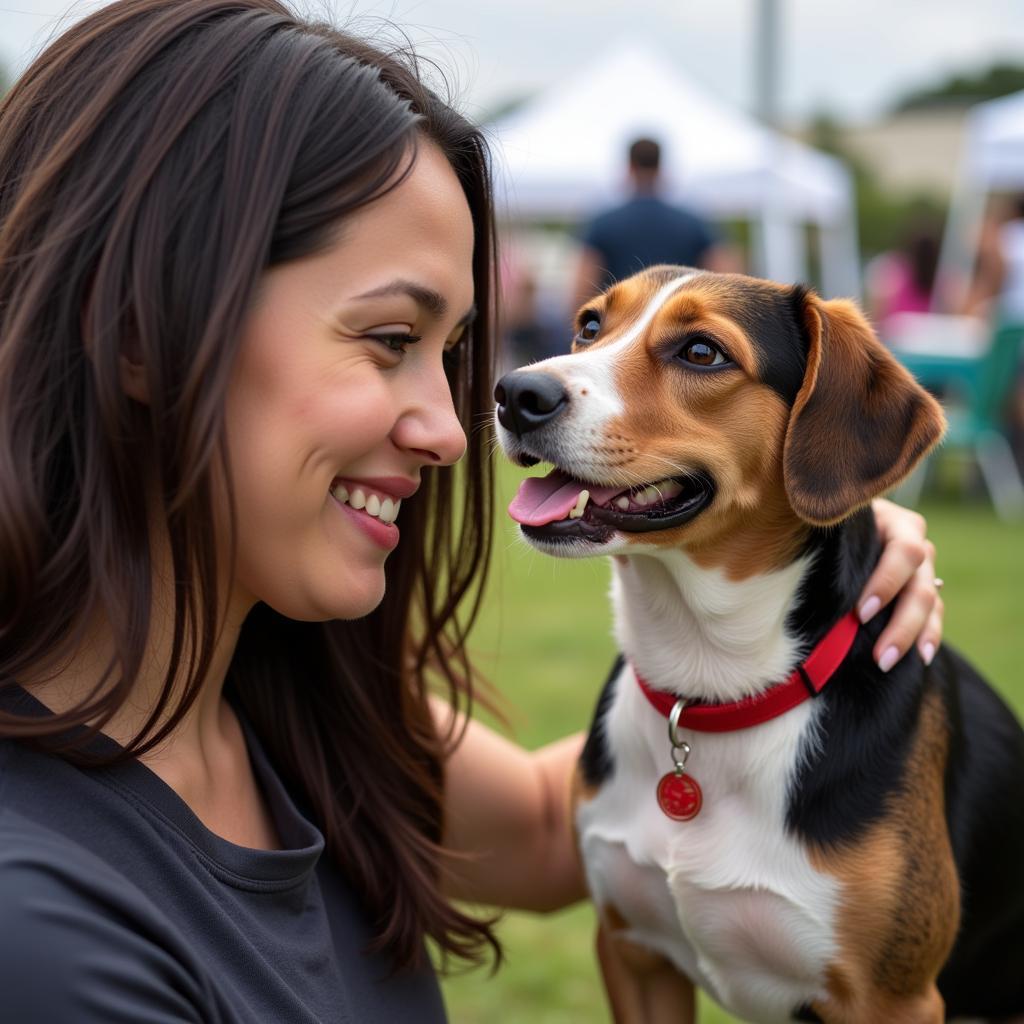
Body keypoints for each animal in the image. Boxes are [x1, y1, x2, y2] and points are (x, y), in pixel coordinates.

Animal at [491, 268, 1019, 1019]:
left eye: (702, 352)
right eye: (590, 326)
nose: (515, 394)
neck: (708, 686)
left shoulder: (893, 999)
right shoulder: (632, 952)